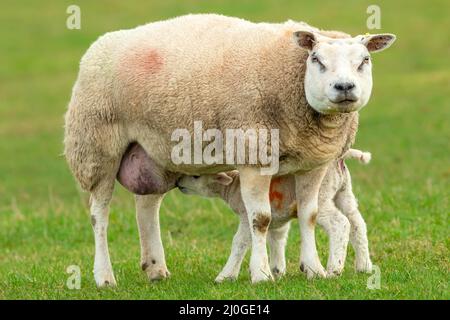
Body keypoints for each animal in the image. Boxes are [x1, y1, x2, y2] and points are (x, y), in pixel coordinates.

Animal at [178, 149, 372, 282]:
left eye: (196, 176)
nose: (179, 183)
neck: (233, 186)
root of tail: (341, 157)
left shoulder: (246, 215)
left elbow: (239, 242)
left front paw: (225, 276)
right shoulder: (278, 216)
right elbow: (276, 239)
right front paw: (277, 271)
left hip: (320, 196)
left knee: (340, 223)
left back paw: (333, 270)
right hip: (344, 192)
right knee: (357, 224)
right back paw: (364, 266)